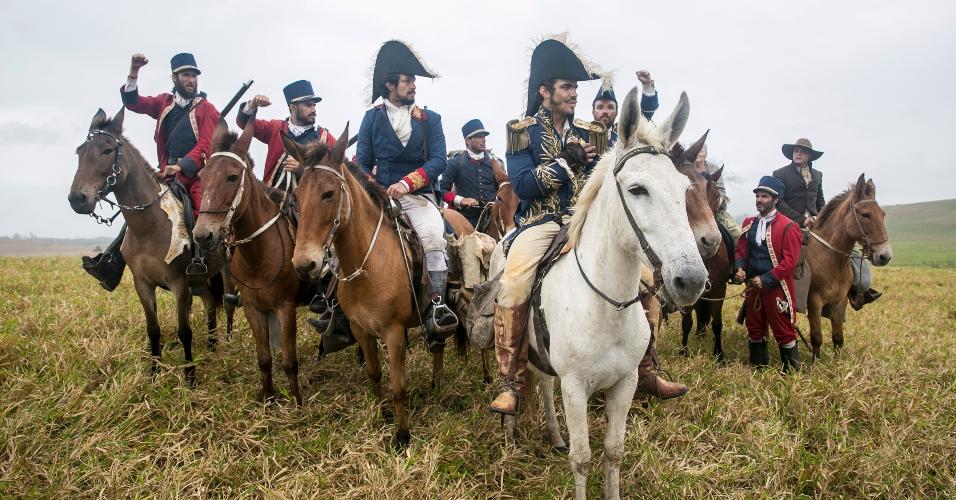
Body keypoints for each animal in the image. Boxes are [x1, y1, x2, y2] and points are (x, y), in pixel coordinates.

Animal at [67, 107, 232, 384]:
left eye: (107, 150)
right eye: (79, 151)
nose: (77, 199)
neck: (149, 227)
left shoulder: (179, 283)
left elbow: (184, 330)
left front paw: (190, 375)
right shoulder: (142, 284)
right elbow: (153, 329)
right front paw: (154, 372)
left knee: (228, 304)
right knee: (210, 304)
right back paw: (212, 345)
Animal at [194, 119, 314, 404]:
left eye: (232, 177)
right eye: (202, 177)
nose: (203, 235)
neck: (259, 255)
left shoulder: (285, 308)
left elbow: (290, 361)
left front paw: (297, 403)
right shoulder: (253, 308)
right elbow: (264, 359)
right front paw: (269, 398)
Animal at [284, 124, 456, 450]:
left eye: (328, 193)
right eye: (296, 197)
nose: (303, 264)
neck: (368, 264)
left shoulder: (394, 333)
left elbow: (398, 385)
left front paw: (402, 436)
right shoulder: (361, 329)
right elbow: (375, 374)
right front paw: (382, 413)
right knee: (437, 345)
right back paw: (438, 384)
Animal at [492, 90, 708, 500]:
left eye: (684, 190)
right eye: (637, 189)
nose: (690, 279)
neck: (604, 309)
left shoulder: (624, 384)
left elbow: (613, 451)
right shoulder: (576, 387)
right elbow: (581, 458)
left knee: (545, 384)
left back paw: (554, 435)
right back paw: (509, 422)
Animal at [804, 175, 892, 360]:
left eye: (882, 214)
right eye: (865, 215)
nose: (885, 256)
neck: (832, 260)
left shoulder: (840, 301)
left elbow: (838, 337)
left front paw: (837, 364)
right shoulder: (814, 301)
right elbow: (816, 336)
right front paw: (815, 364)